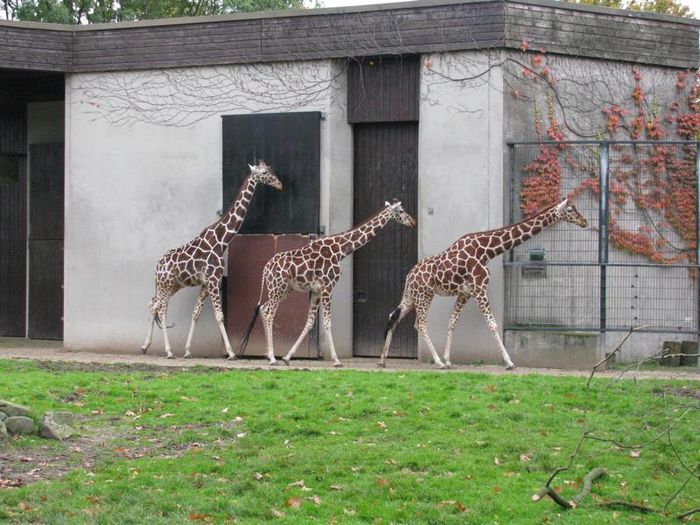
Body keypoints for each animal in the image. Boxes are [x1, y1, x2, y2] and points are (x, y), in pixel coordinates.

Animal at [139, 160, 282, 358]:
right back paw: (168, 351)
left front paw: (188, 350)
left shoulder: (206, 283)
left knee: (153, 305)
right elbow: (219, 316)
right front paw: (231, 353)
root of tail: (157, 266)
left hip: (172, 286)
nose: (280, 185)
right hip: (165, 285)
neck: (222, 240)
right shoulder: (213, 280)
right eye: (263, 173)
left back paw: (145, 346)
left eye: (270, 169)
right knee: (161, 309)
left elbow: (196, 313)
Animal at [241, 199, 416, 366]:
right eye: (402, 210)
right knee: (269, 312)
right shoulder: (328, 287)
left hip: (283, 290)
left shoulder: (317, 291)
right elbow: (327, 322)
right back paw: (272, 358)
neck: (340, 251)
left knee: (263, 309)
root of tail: (265, 269)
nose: (413, 222)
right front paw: (336, 360)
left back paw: (268, 355)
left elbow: (310, 322)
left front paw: (287, 357)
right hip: (277, 288)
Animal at [380, 196, 588, 368]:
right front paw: (509, 362)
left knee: (393, 316)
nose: (585, 221)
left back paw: (383, 360)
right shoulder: (480, 289)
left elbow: (452, 322)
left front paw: (448, 359)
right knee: (420, 324)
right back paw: (437, 362)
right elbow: (493, 324)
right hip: (425, 295)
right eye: (570, 209)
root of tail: (409, 275)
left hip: (411, 296)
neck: (487, 251)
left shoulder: (466, 293)